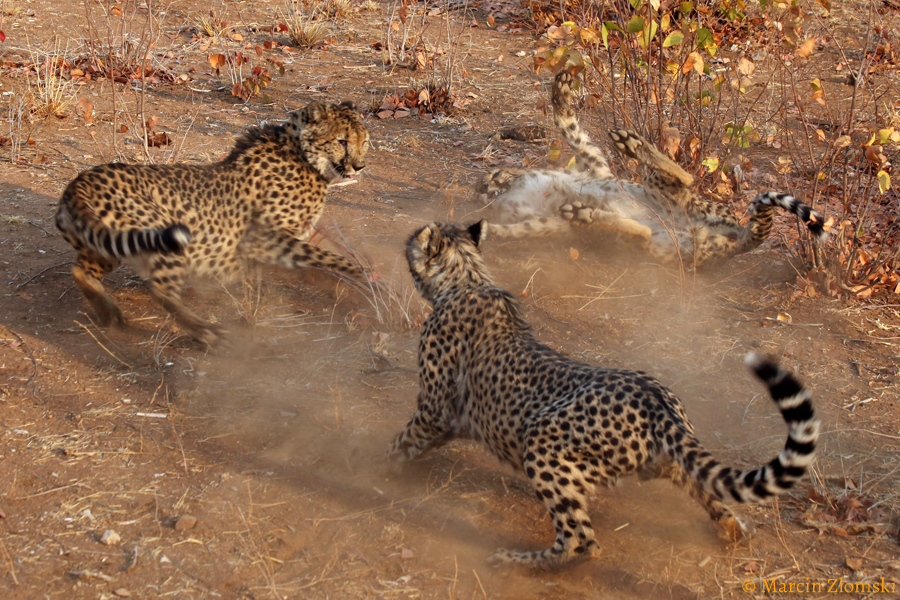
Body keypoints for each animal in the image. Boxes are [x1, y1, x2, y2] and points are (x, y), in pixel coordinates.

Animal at [55, 98, 370, 342]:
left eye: (364, 142)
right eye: (342, 141)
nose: (359, 166)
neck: (303, 155)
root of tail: (80, 180)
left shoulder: (302, 232)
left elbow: (341, 255)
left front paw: (374, 280)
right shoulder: (261, 239)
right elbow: (332, 259)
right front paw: (371, 287)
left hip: (108, 244)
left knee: (80, 270)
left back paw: (108, 313)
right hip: (164, 234)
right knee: (161, 291)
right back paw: (205, 332)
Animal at [384, 221, 820, 572]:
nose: (404, 240)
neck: (468, 279)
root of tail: (657, 400)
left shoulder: (435, 410)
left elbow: (401, 442)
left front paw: (374, 470)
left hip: (542, 439)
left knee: (582, 542)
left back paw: (517, 559)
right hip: (670, 460)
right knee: (714, 500)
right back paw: (733, 529)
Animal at [478, 70, 828, 268]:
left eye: (491, 178)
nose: (486, 185)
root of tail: (734, 245)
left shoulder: (596, 165)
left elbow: (568, 126)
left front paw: (561, 90)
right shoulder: (552, 222)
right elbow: (521, 229)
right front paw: (483, 231)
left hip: (659, 193)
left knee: (685, 177)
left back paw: (630, 145)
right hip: (664, 247)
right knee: (643, 231)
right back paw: (588, 212)